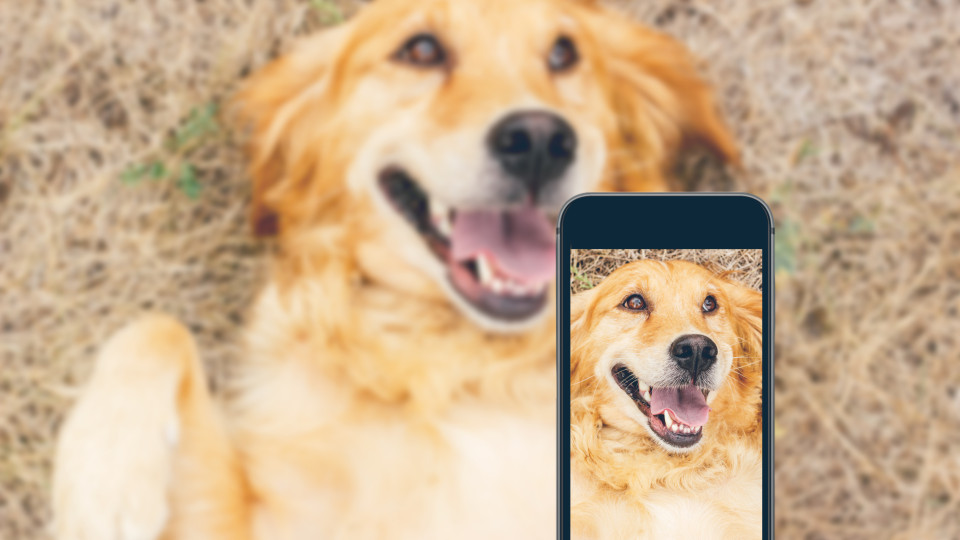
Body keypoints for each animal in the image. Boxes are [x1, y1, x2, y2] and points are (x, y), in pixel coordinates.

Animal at [50, 1, 736, 540]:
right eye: (422, 49)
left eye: (564, 53)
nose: (541, 139)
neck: (460, 363)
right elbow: (154, 326)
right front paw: (105, 479)